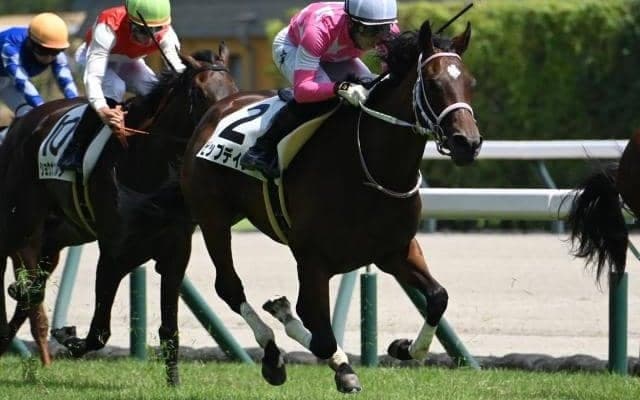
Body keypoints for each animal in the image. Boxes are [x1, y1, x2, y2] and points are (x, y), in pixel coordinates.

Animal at [0, 45, 237, 384]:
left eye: (234, 90)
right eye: (199, 93)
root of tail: (22, 122)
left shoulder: (176, 253)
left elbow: (169, 328)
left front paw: (174, 382)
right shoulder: (113, 253)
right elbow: (99, 331)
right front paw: (68, 336)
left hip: (54, 239)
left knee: (31, 295)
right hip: (20, 225)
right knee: (27, 286)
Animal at [181, 21, 481, 393]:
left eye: (470, 82)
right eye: (434, 82)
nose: (468, 143)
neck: (370, 167)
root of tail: (222, 104)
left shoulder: (394, 250)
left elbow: (438, 296)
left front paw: (403, 347)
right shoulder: (313, 259)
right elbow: (320, 333)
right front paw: (311, 348)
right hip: (212, 219)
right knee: (229, 286)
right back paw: (272, 354)